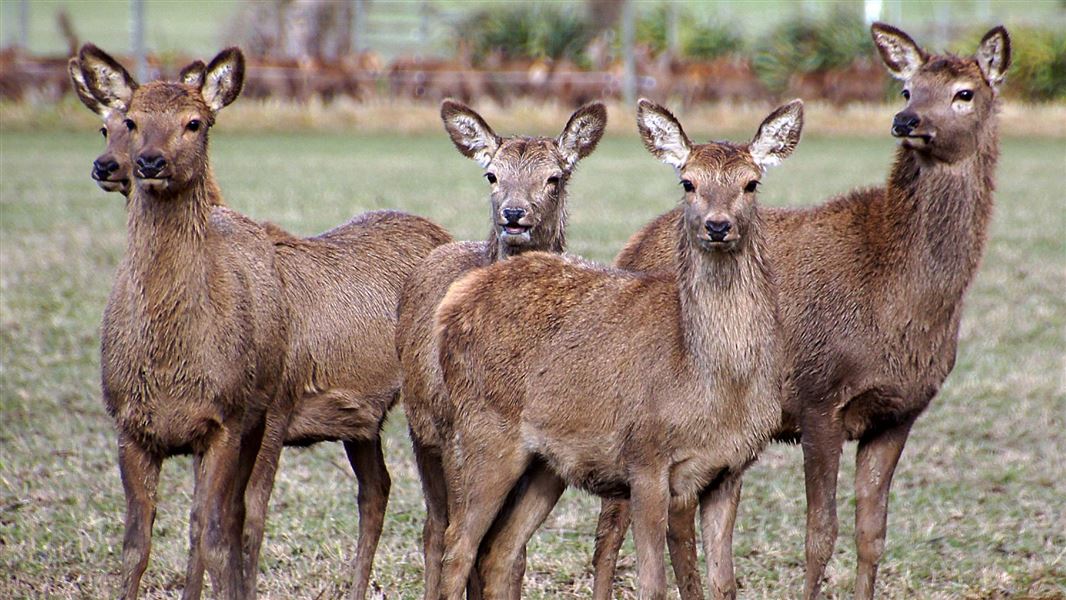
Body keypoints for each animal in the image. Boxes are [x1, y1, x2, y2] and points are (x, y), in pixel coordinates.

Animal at [75, 43, 449, 600]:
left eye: (194, 122)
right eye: (115, 124)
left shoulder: (270, 411)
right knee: (377, 489)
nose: (127, 164)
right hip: (362, 422)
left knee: (435, 512)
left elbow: (238, 521)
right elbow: (152, 543)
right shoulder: (134, 424)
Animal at [396, 99, 605, 600]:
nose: (513, 214)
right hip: (425, 430)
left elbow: (512, 554)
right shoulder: (454, 432)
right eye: (491, 174)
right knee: (436, 530)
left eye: (555, 177)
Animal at [428, 97, 801, 600]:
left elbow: (723, 584)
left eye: (751, 182)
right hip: (482, 429)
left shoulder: (729, 469)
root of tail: (454, 302)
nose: (718, 226)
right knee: (457, 546)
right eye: (687, 181)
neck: (713, 384)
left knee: (500, 549)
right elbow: (654, 583)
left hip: (546, 462)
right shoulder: (646, 457)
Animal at [588, 22, 1010, 600]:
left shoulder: (899, 412)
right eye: (907, 89)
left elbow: (871, 533)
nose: (906, 121)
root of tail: (630, 247)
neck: (905, 300)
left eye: (964, 93)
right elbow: (819, 534)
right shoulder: (819, 393)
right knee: (612, 524)